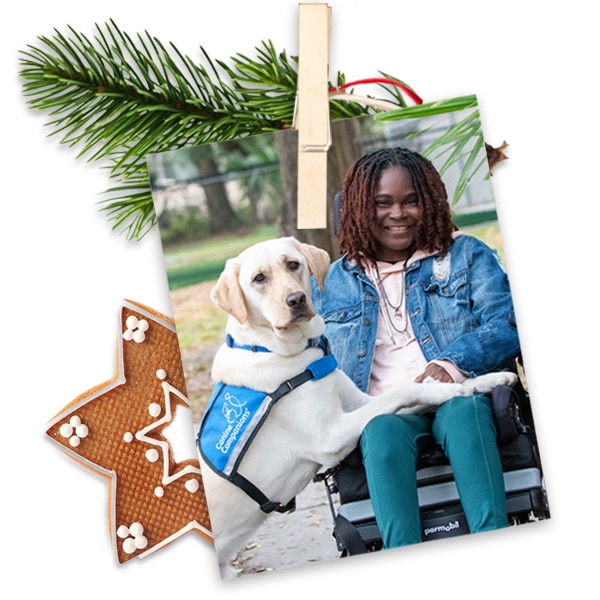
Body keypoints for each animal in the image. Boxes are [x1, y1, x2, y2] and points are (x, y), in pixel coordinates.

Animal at [200, 236, 516, 576]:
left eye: (293, 264)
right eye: (259, 279)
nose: (296, 299)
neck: (272, 348)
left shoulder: (359, 404)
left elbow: (415, 390)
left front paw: (484, 380)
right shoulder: (331, 436)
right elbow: (404, 389)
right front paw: (448, 390)